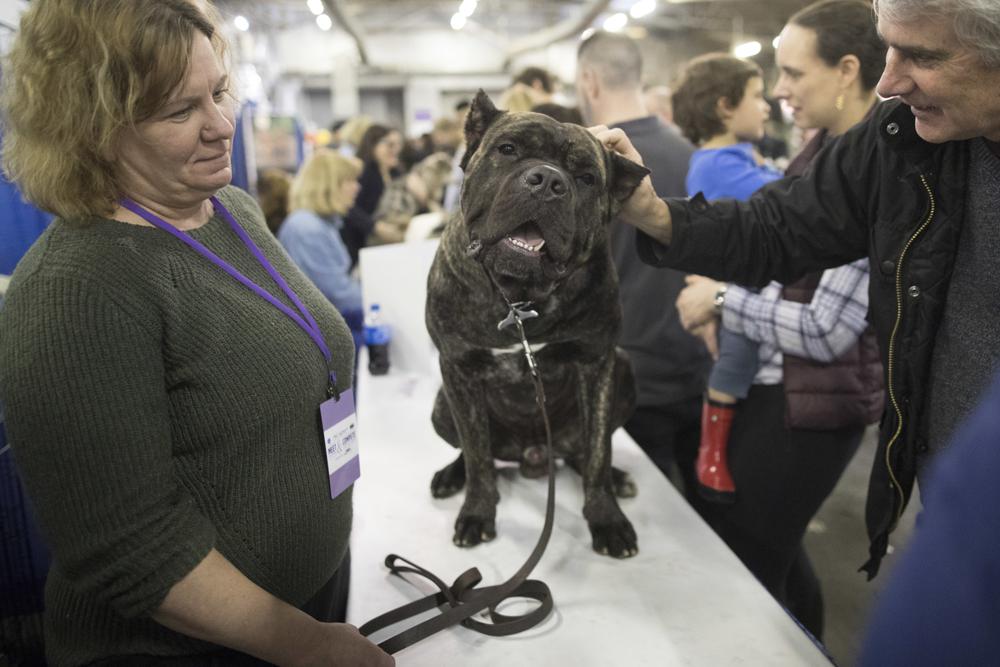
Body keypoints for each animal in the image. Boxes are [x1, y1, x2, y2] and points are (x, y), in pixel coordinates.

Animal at [422, 88, 648, 560]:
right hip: (441, 403)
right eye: (508, 150)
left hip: (622, 372)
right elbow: (477, 454)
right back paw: (451, 477)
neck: (518, 297)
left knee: (586, 451)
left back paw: (617, 479)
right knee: (472, 451)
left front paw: (607, 519)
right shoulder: (458, 366)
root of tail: (531, 455)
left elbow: (598, 450)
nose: (547, 181)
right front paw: (477, 512)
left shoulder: (596, 362)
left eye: (586, 177)